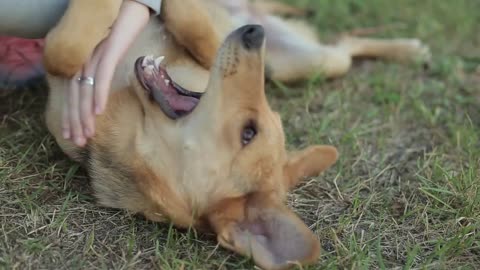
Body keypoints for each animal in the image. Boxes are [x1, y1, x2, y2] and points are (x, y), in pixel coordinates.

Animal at [43, 0, 430, 268]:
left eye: (249, 133)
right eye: (267, 120)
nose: (253, 33)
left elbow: (63, 48)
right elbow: (65, 53)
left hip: (303, 63)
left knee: (343, 47)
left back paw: (409, 49)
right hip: (294, 62)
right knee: (344, 42)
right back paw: (409, 48)